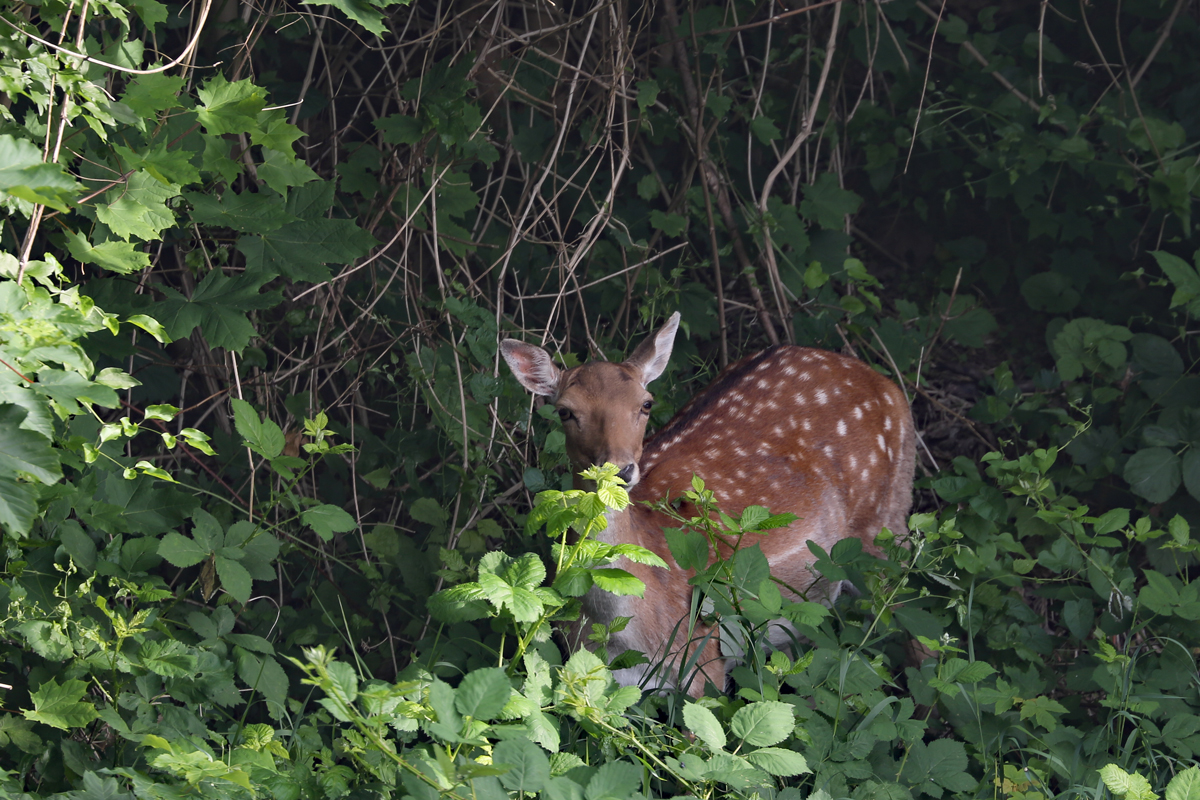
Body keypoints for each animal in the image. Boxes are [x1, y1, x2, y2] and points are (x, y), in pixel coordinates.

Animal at [501, 311, 912, 695]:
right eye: (565, 411)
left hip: (887, 527)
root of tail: (888, 384)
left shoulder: (703, 661)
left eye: (646, 403)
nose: (619, 470)